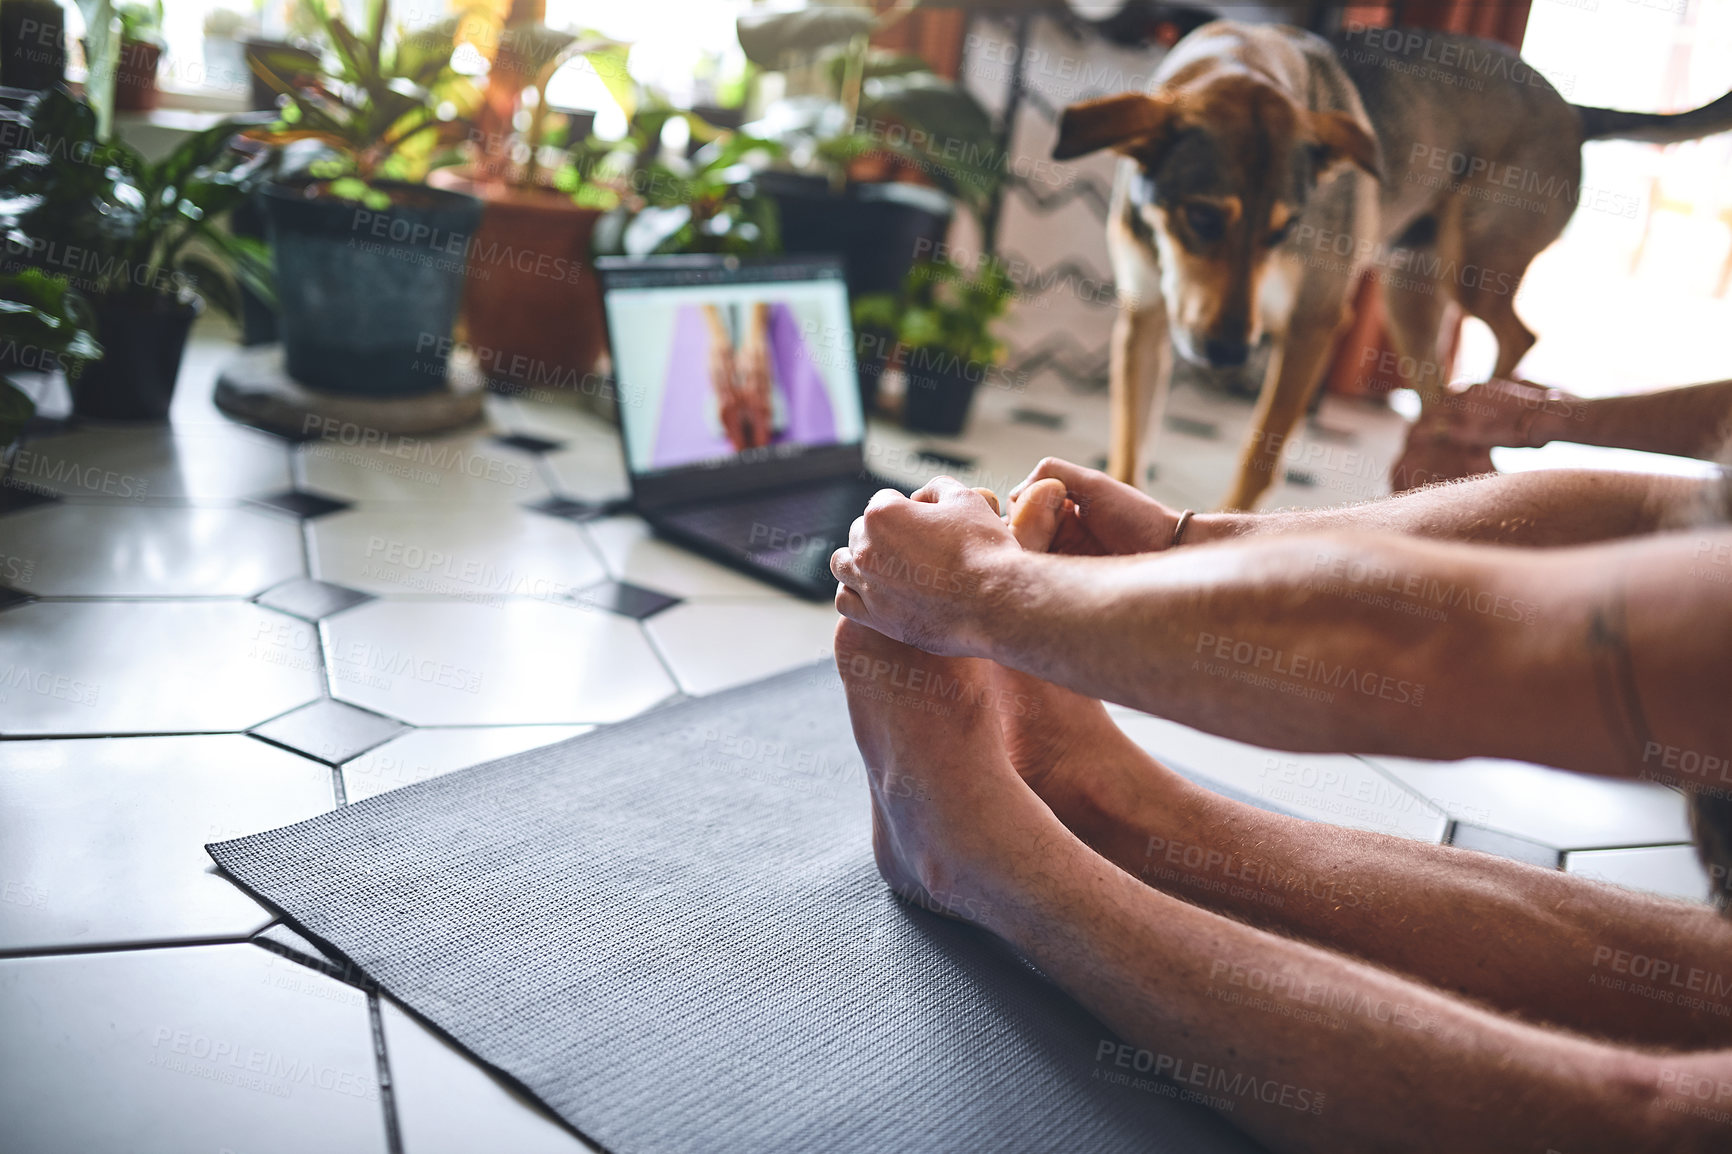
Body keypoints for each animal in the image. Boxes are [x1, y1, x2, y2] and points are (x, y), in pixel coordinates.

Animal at [1053, 20, 1732, 505]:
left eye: (1285, 228)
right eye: (1202, 217)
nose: (1226, 355)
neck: (1242, 58)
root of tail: (1576, 110)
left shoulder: (1313, 325)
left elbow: (1258, 460)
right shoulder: (1144, 321)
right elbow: (1129, 447)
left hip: (1473, 272)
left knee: (1519, 336)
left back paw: (1485, 409)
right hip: (1409, 292)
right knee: (1437, 386)